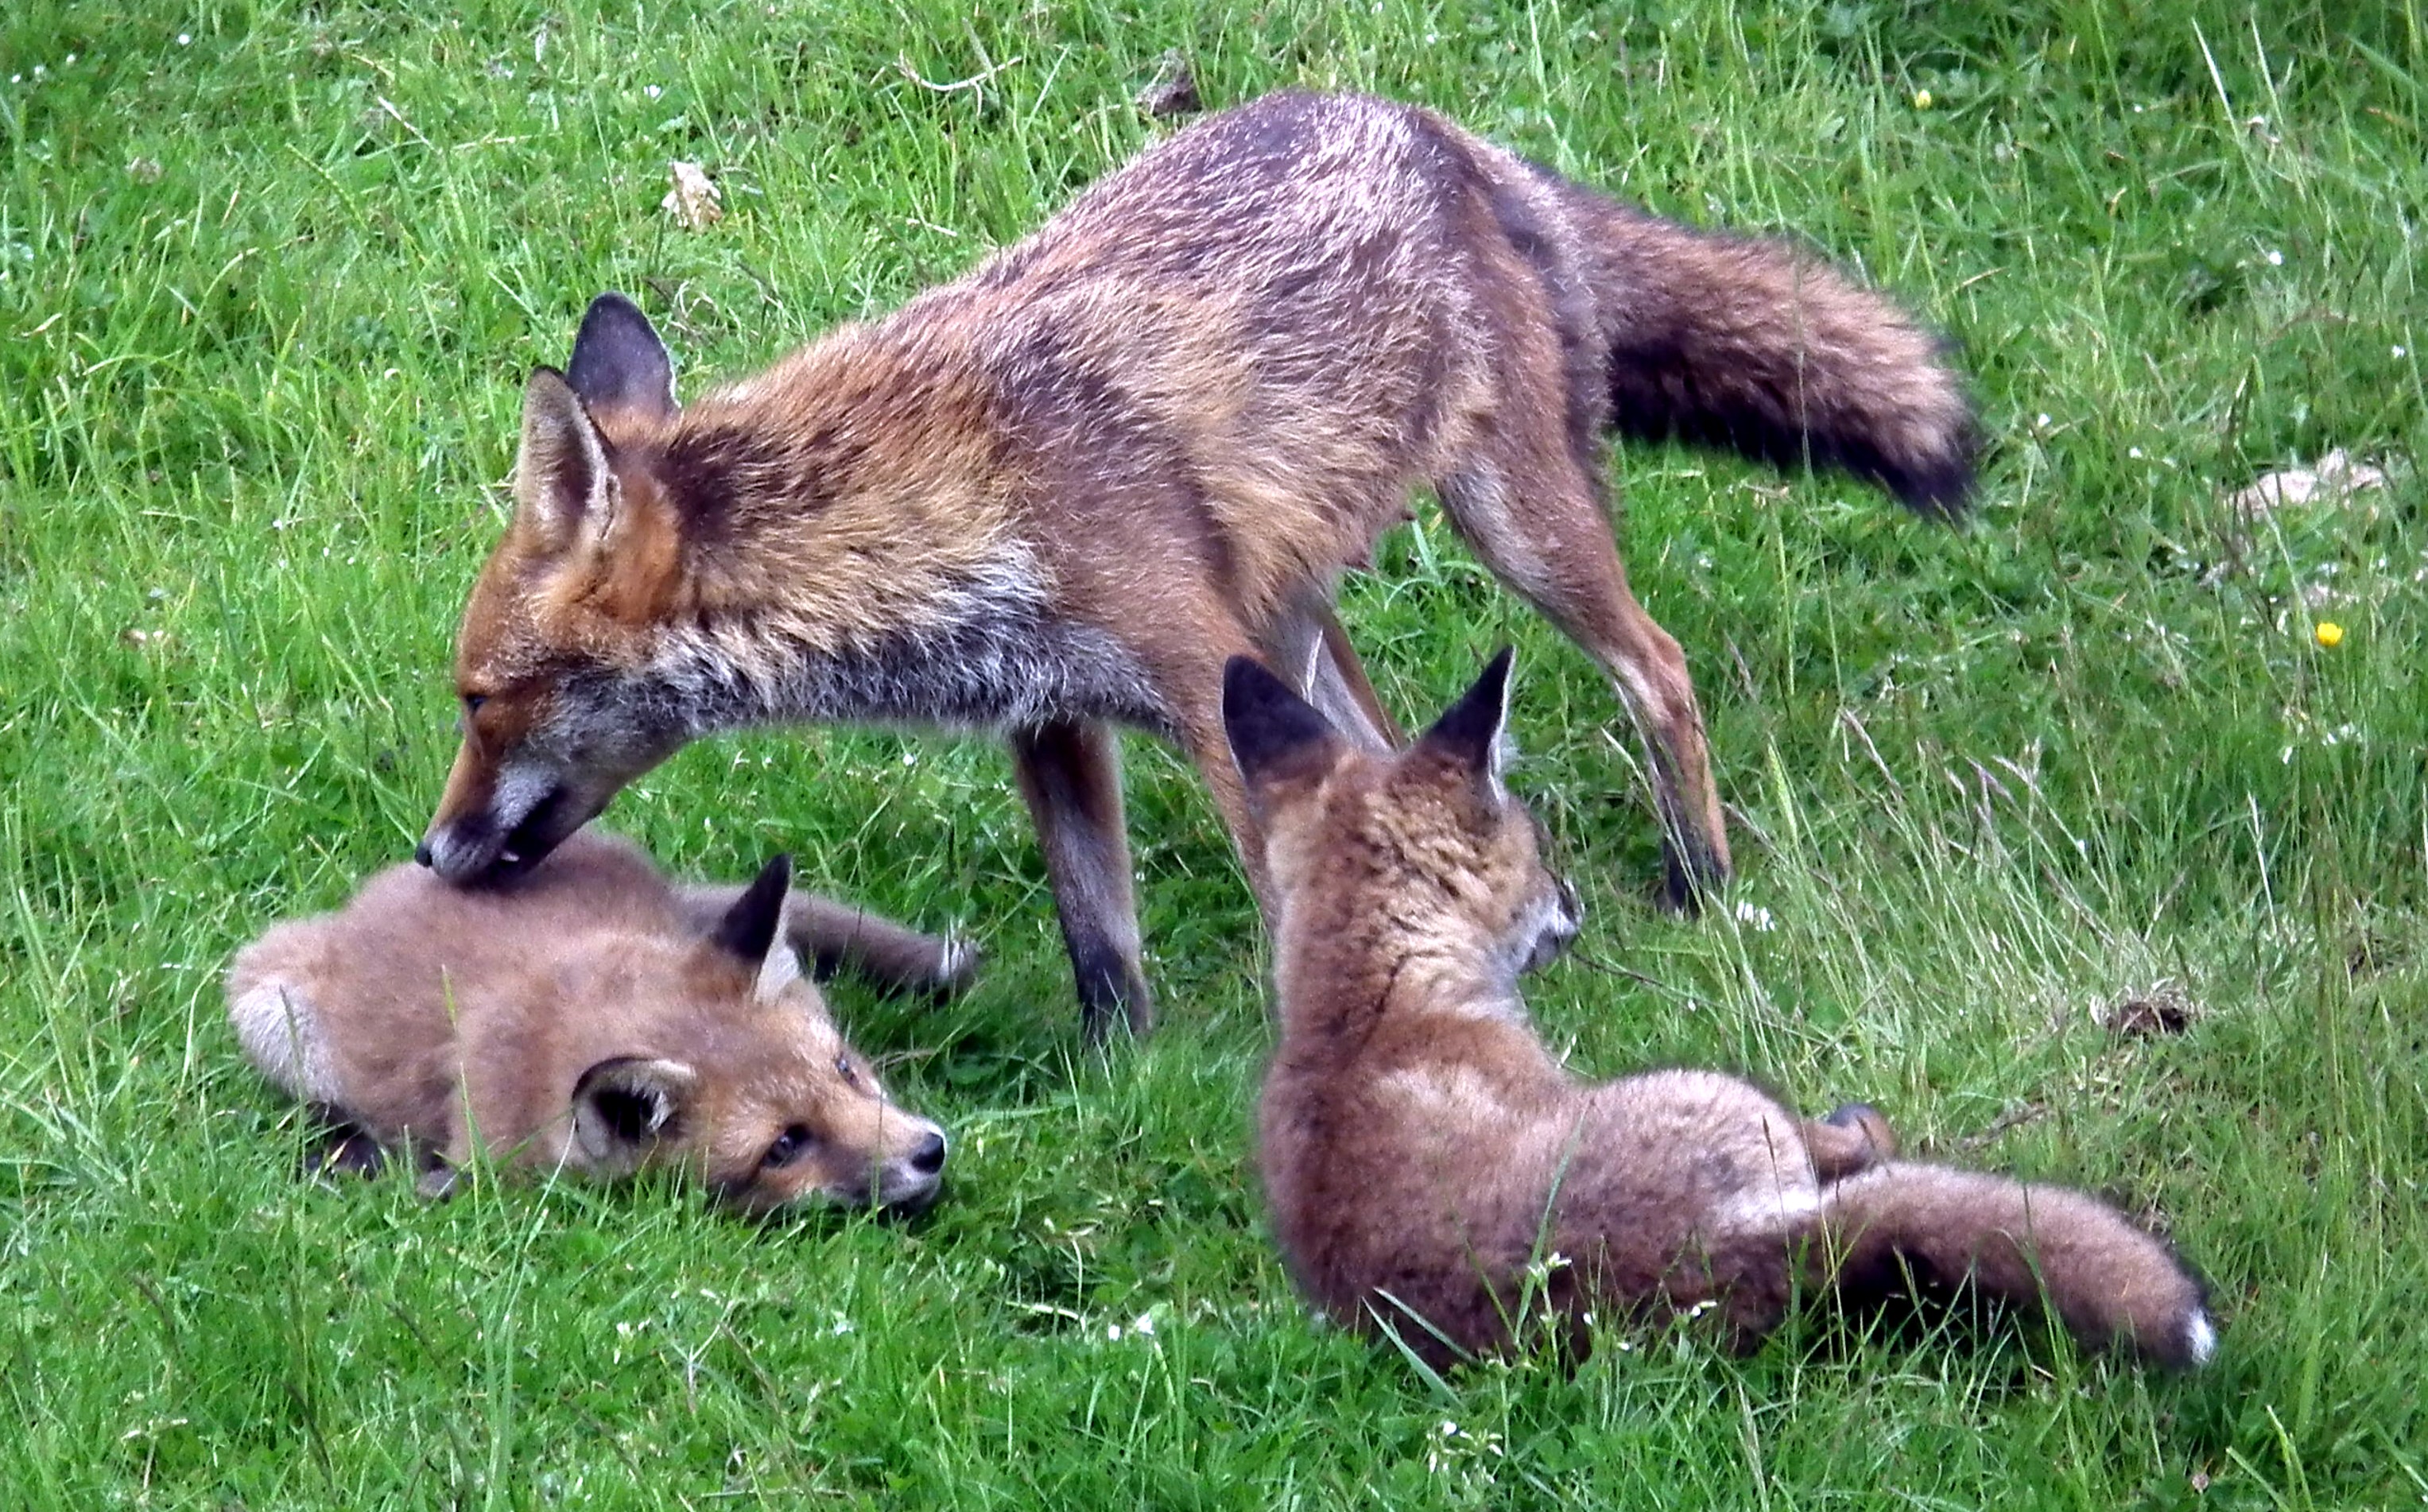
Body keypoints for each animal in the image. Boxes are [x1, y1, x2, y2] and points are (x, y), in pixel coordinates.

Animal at [417, 91, 1971, 1038]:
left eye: (478, 700)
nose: (429, 856)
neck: (941, 511)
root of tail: (1441, 132)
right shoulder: (1050, 717)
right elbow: (1101, 946)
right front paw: (1122, 1084)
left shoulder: (1202, 683)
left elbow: (1278, 895)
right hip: (1295, 613)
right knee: (1410, 752)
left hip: (1509, 527)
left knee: (1659, 667)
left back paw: (1696, 876)